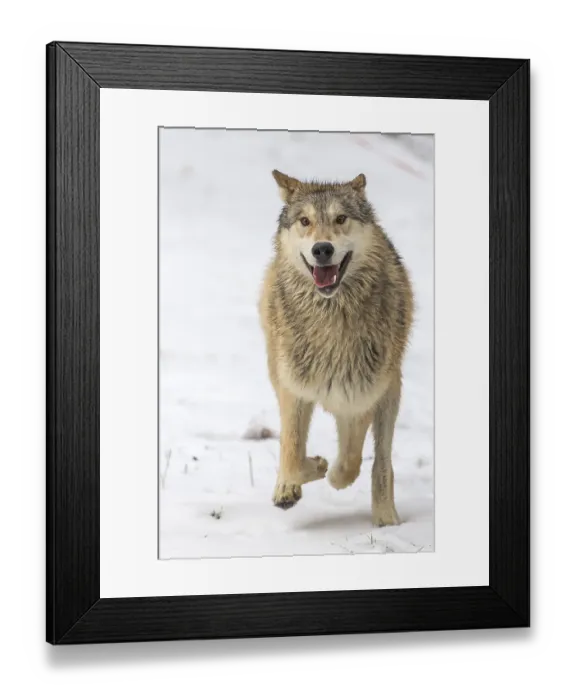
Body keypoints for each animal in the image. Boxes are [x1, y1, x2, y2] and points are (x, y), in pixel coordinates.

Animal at [258, 170, 414, 527]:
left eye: (341, 219)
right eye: (305, 221)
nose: (322, 249)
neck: (330, 321)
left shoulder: (357, 395)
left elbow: (350, 464)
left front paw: (329, 473)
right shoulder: (294, 388)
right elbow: (291, 450)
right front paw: (297, 480)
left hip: (390, 393)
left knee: (381, 461)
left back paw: (385, 515)